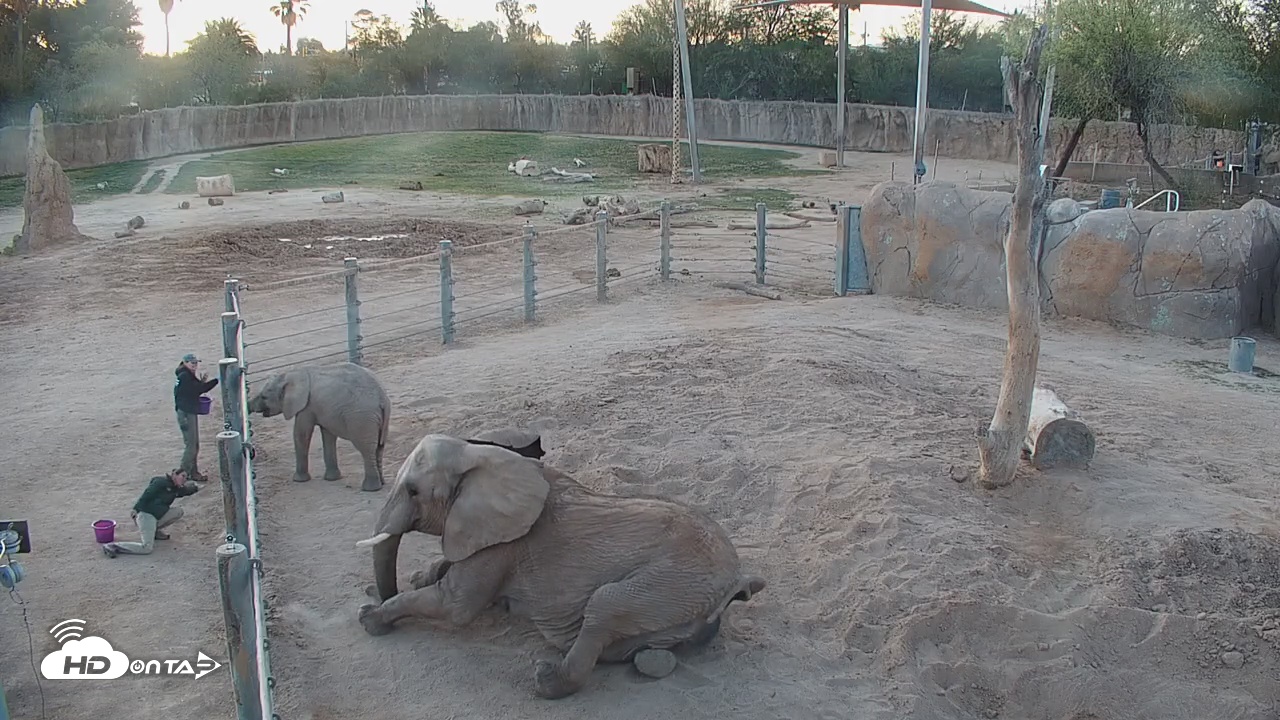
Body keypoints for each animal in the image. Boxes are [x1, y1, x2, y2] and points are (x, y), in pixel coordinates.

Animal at [247, 362, 391, 492]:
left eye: (264, 397)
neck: (290, 374)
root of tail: (381, 399)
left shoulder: (306, 406)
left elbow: (301, 434)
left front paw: (299, 480)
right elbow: (328, 436)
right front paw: (332, 479)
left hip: (361, 418)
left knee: (366, 449)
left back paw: (371, 489)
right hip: (381, 418)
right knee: (379, 447)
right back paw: (382, 483)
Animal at [354, 433, 766, 699]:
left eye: (413, 491)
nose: (377, 589)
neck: (482, 458)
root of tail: (735, 582)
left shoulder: (505, 543)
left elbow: (454, 606)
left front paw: (371, 618)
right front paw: (415, 579)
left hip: (675, 583)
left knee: (606, 604)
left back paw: (547, 680)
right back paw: (651, 660)